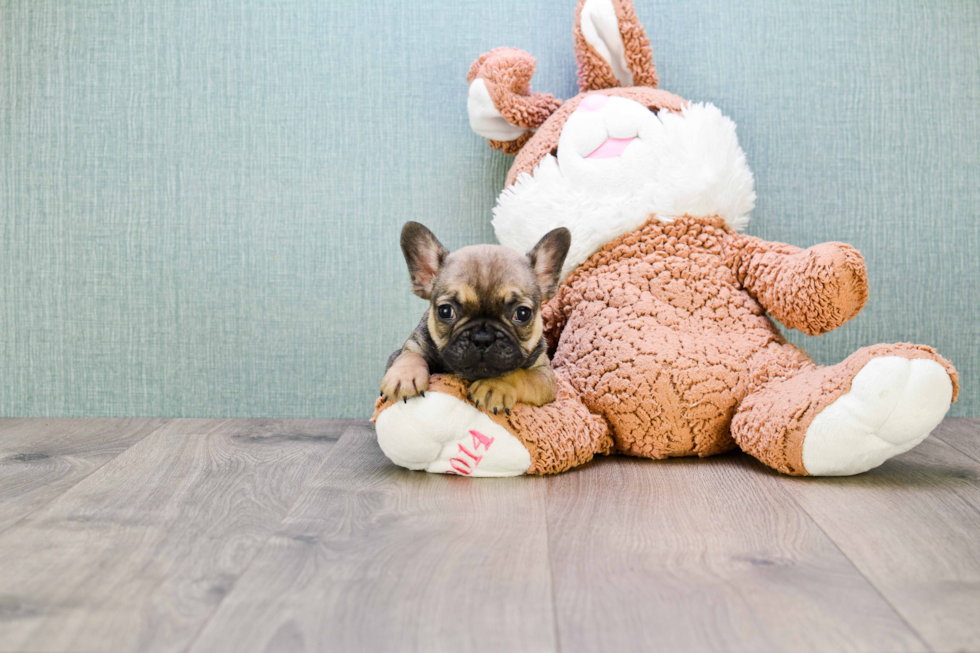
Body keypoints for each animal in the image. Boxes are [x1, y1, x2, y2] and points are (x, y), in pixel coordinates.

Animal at [380, 219, 572, 412]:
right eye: (445, 311)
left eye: (522, 314)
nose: (482, 338)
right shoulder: (414, 344)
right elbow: (410, 355)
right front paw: (404, 376)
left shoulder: (544, 375)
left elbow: (521, 374)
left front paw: (496, 385)